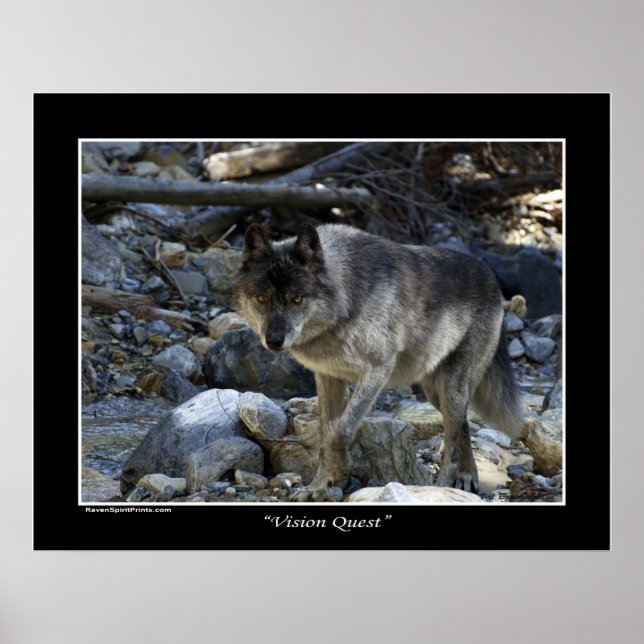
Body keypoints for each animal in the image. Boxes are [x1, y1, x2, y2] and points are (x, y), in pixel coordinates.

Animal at [234, 223, 523, 501]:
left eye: (297, 299)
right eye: (261, 298)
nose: (274, 340)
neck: (345, 304)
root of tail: (491, 277)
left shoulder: (377, 370)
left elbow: (340, 431)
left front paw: (340, 468)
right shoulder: (328, 376)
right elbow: (327, 433)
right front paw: (317, 488)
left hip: (452, 388)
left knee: (451, 441)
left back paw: (442, 487)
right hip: (436, 394)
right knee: (463, 423)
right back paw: (468, 476)